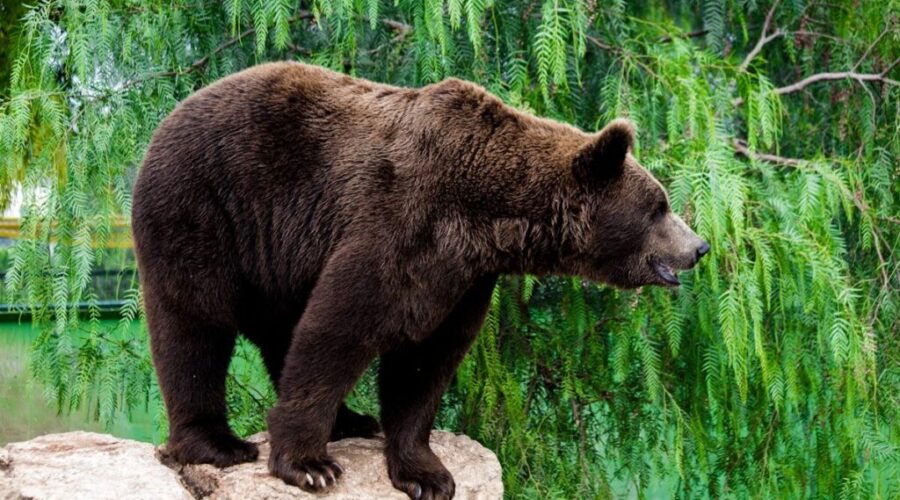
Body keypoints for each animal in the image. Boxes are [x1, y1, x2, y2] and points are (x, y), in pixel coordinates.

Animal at [131, 61, 709, 499]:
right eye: (659, 206)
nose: (699, 247)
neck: (489, 215)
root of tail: (169, 115)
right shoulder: (399, 227)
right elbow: (337, 330)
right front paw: (310, 465)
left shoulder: (464, 278)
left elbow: (424, 362)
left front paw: (426, 474)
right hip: (204, 210)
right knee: (194, 326)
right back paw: (219, 443)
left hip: (276, 257)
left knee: (278, 331)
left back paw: (352, 419)